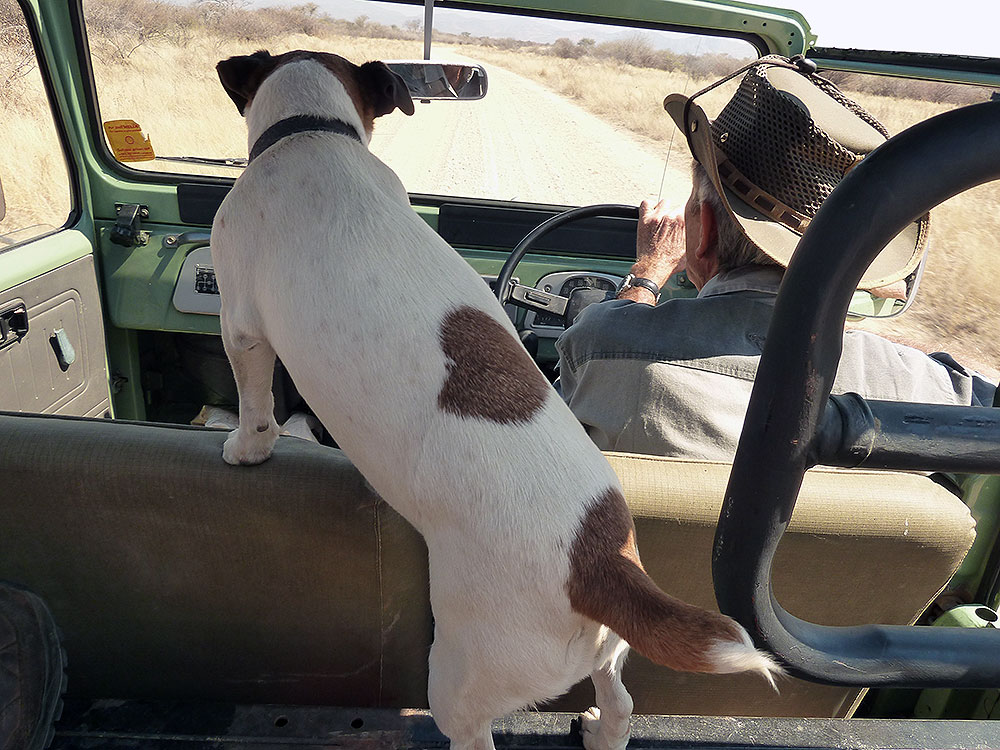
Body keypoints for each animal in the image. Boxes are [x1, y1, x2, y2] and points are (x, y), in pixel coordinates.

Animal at [213, 50, 780, 750]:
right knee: (619, 701)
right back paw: (600, 729)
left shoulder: (241, 326)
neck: (312, 132)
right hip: (606, 651)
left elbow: (255, 403)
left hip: (461, 676)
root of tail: (597, 564)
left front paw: (246, 446)